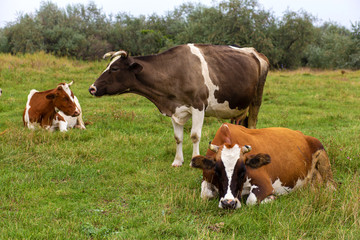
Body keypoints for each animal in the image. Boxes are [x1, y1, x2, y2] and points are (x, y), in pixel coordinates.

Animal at [88, 43, 268, 167]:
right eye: (108, 66)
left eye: (115, 68)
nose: (92, 88)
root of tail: (255, 52)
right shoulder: (174, 109)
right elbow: (178, 137)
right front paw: (177, 161)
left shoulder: (198, 106)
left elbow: (194, 135)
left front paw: (194, 160)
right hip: (238, 108)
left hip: (256, 101)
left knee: (252, 125)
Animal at [191, 123, 334, 209]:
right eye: (217, 171)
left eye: (242, 171)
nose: (228, 203)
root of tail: (301, 134)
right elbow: (204, 194)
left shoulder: (265, 184)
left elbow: (251, 200)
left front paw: (271, 198)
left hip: (323, 156)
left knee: (331, 186)